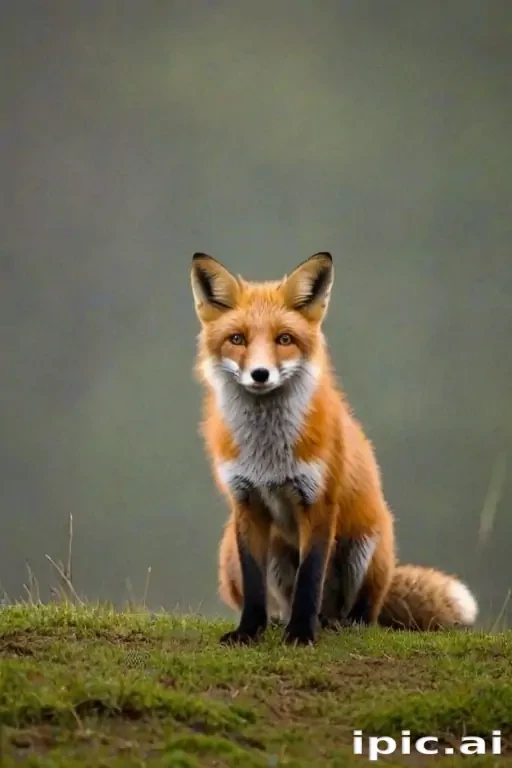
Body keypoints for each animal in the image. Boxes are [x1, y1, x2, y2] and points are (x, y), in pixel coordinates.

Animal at [190, 251, 478, 645]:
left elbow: (310, 580)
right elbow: (254, 586)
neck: (268, 456)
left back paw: (342, 623)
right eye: (237, 339)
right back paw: (282, 621)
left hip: (365, 543)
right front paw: (249, 632)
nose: (260, 374)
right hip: (248, 550)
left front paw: (300, 635)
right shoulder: (246, 502)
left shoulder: (319, 502)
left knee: (358, 610)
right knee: (282, 599)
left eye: (284, 339)